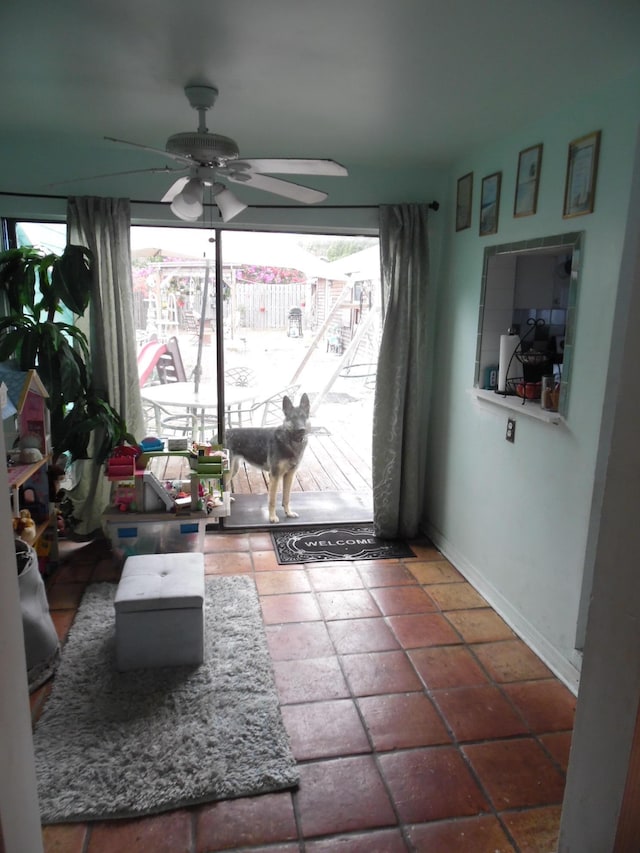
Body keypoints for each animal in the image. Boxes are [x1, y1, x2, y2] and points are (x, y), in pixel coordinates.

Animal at [226, 392, 312, 520]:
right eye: (293, 418)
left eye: (303, 417)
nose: (302, 430)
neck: (289, 441)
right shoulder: (274, 476)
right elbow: (272, 499)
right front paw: (272, 517)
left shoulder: (289, 475)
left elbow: (286, 498)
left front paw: (288, 512)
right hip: (228, 472)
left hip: (233, 470)